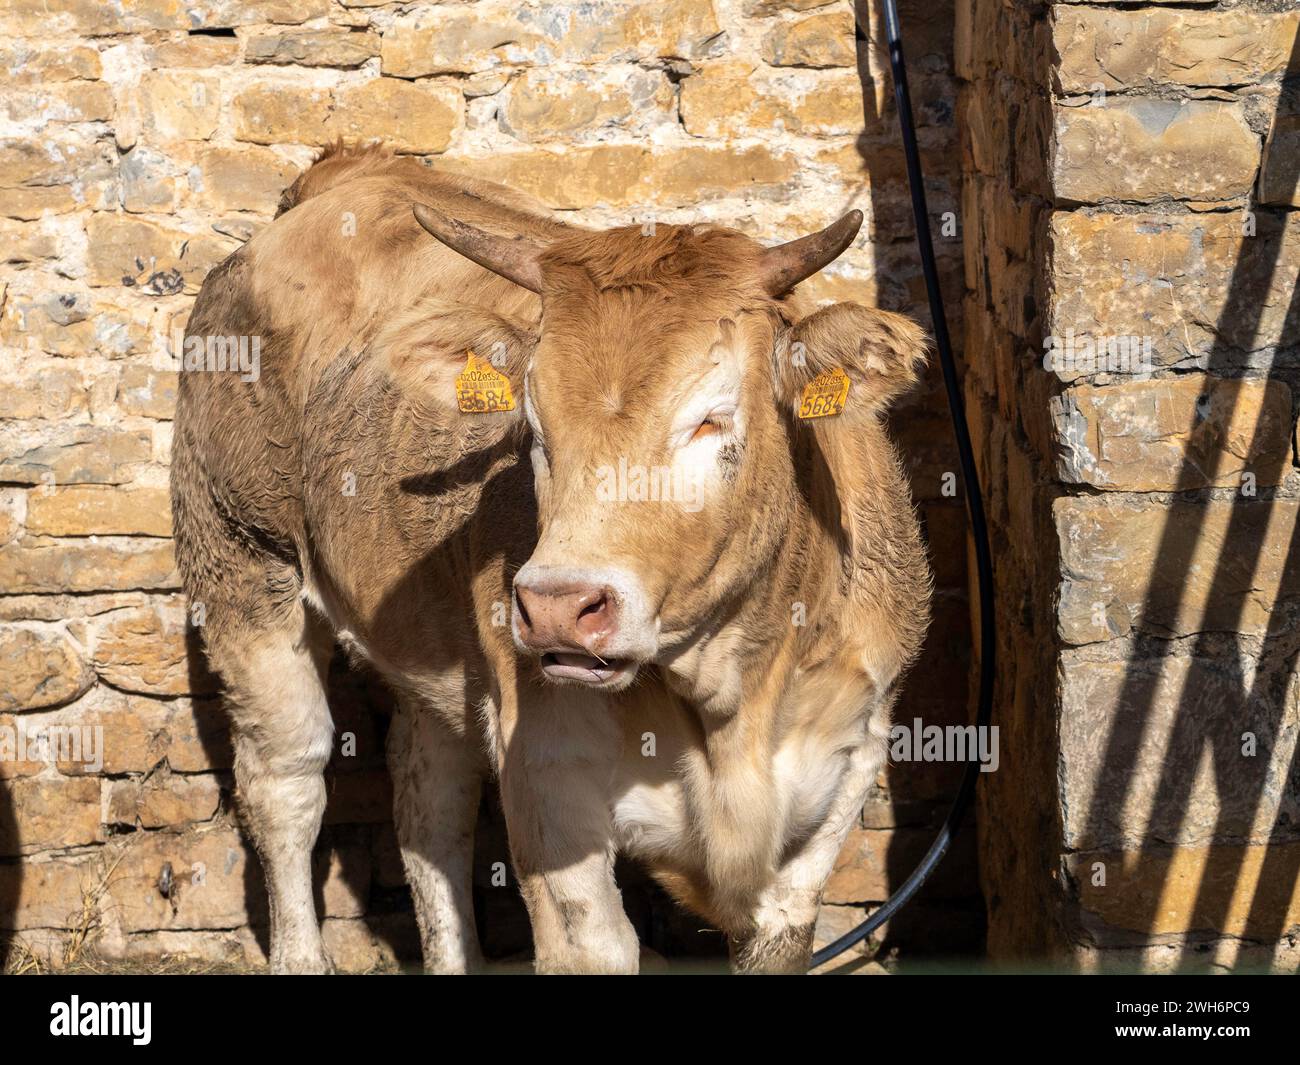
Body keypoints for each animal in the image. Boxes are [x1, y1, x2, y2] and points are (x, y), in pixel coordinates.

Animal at [170, 143, 932, 974]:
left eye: (712, 418)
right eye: (531, 424)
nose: (560, 605)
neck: (733, 699)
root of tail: (341, 178)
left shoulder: (845, 767)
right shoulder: (544, 768)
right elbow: (592, 942)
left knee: (430, 801)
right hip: (242, 563)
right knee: (288, 784)